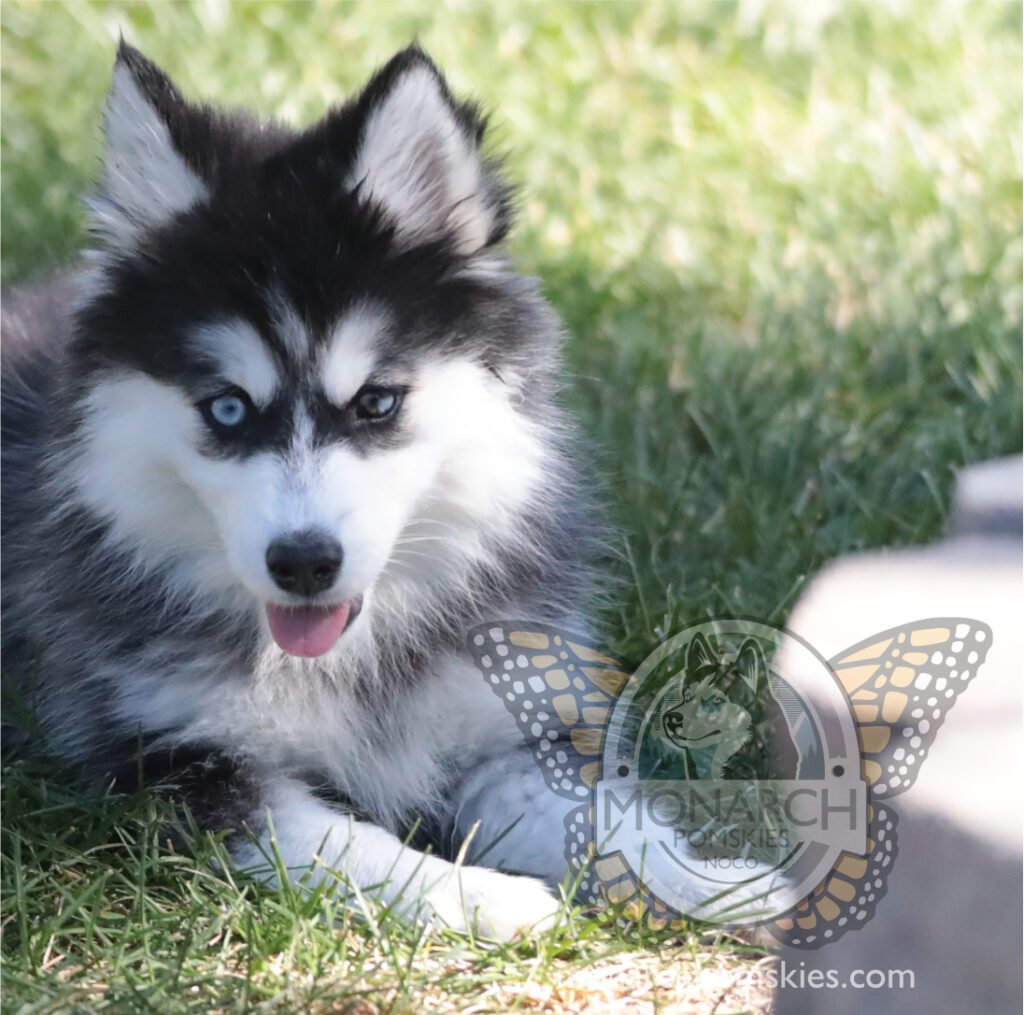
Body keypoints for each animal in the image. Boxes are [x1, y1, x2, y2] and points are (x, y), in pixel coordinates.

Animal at [2, 45, 593, 938]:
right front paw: (474, 892)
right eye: (228, 408)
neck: (349, 662)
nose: (305, 563)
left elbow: (611, 819)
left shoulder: (500, 722)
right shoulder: (172, 760)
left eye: (377, 402)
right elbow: (345, 839)